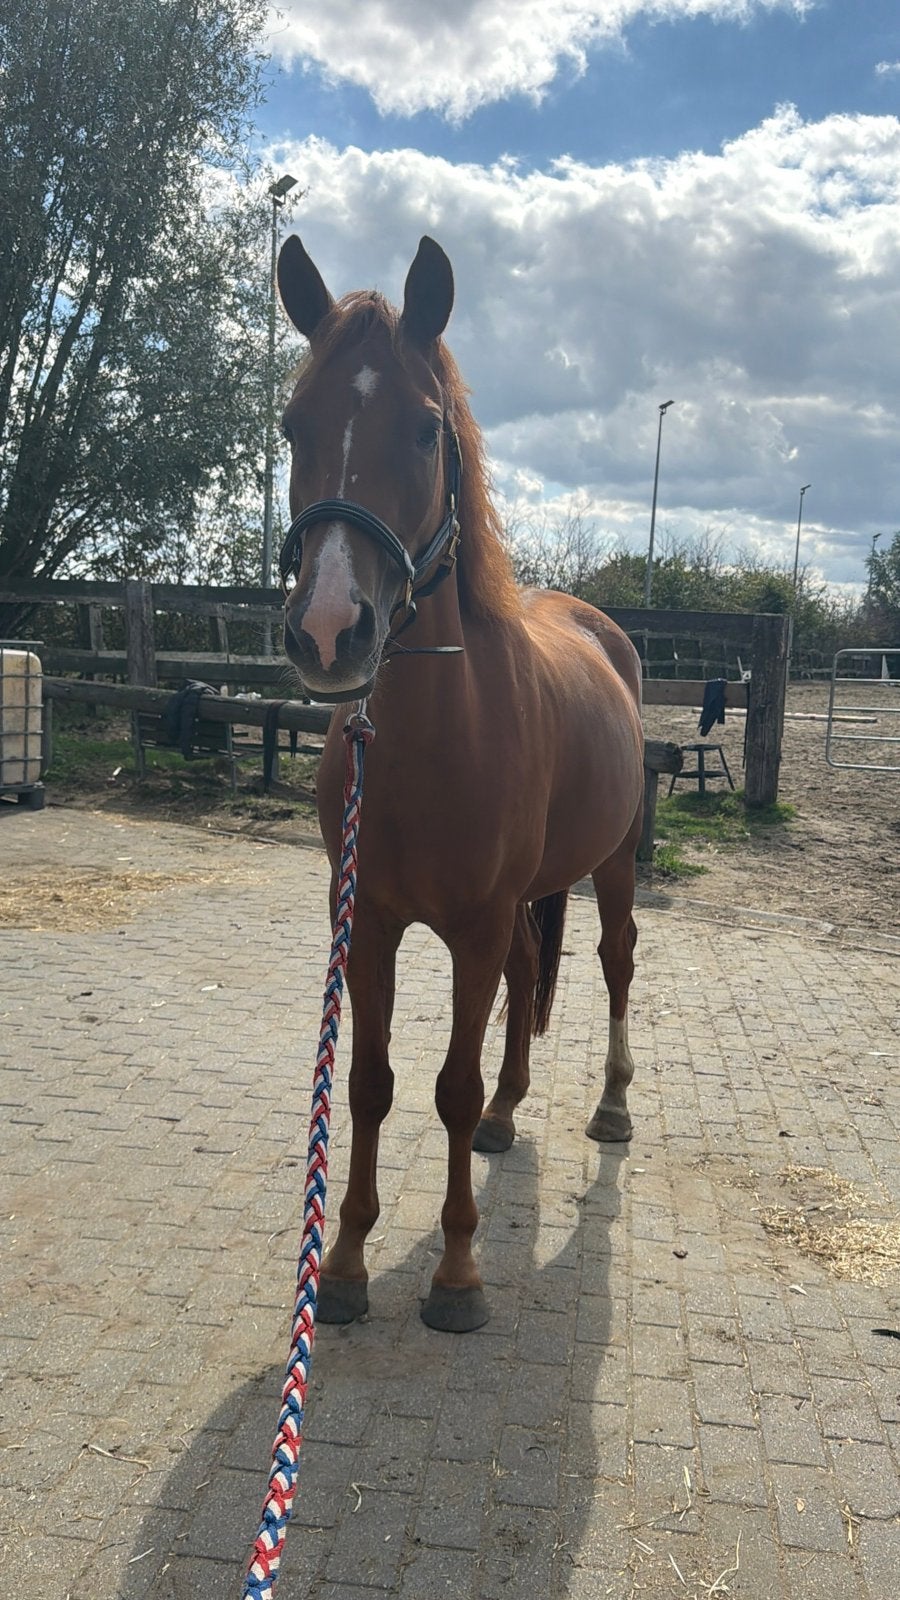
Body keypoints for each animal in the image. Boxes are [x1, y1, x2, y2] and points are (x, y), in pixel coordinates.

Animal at [277, 234, 645, 1334]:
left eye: (425, 427)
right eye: (292, 423)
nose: (329, 631)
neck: (440, 736)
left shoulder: (471, 928)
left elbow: (446, 1083)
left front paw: (456, 1274)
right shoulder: (367, 922)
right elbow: (369, 1083)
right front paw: (346, 1263)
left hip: (614, 863)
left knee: (614, 962)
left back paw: (611, 1104)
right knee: (533, 970)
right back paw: (509, 1113)